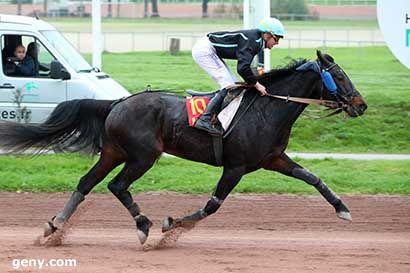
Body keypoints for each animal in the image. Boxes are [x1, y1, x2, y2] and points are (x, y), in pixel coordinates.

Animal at [0, 50, 368, 243]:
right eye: (339, 76)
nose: (361, 105)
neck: (268, 108)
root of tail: (117, 103)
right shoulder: (236, 167)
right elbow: (213, 205)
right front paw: (173, 223)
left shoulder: (273, 159)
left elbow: (312, 178)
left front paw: (342, 208)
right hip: (143, 156)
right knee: (117, 186)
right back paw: (143, 225)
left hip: (114, 153)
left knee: (86, 183)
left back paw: (55, 225)